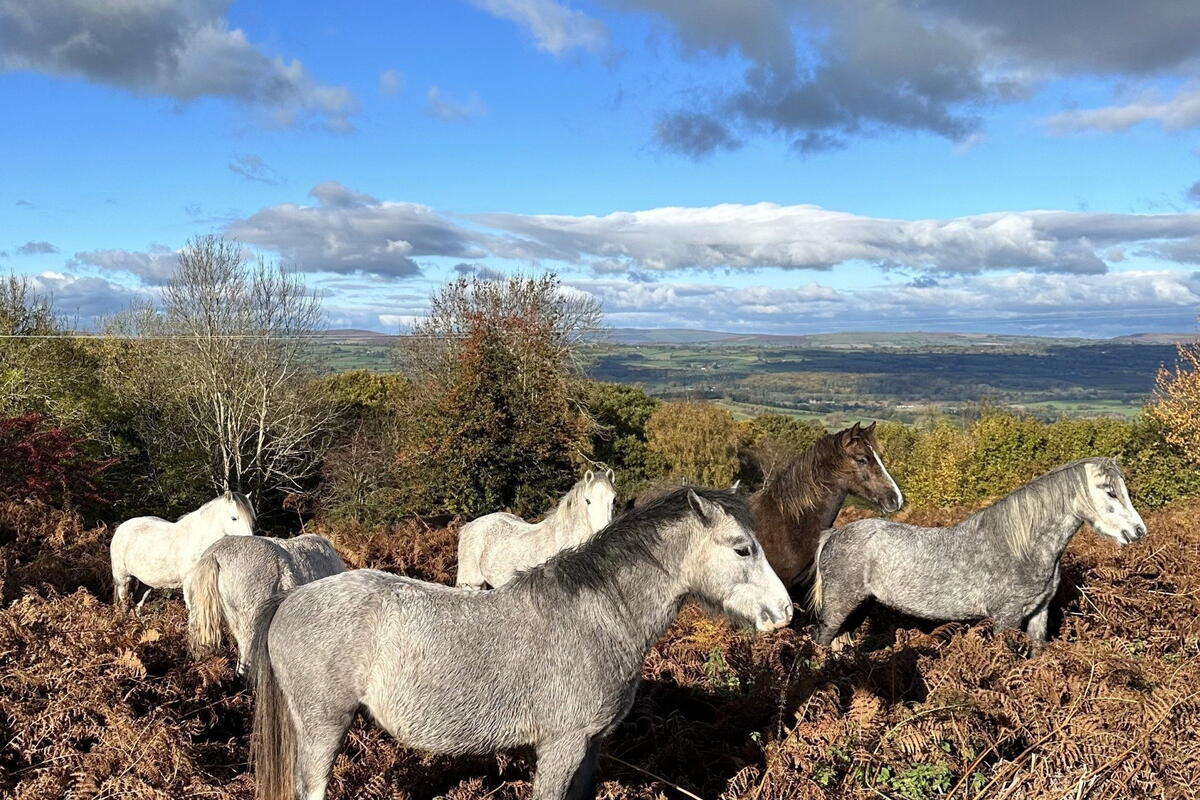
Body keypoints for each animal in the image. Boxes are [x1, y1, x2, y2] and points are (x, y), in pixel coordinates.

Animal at [109, 490, 256, 613]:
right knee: (126, 605)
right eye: (234, 518)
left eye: (251, 519)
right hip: (123, 579)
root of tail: (121, 528)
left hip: (145, 582)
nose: (250, 541)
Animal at [251, 487, 793, 800]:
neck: (596, 618)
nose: (786, 611)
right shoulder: (561, 745)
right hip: (324, 726)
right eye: (743, 549)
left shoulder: (590, 747)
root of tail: (292, 597)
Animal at [810, 458, 1146, 648]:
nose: (1138, 531)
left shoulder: (1039, 614)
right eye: (1110, 492)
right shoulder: (1006, 618)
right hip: (839, 607)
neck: (1021, 547)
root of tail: (832, 535)